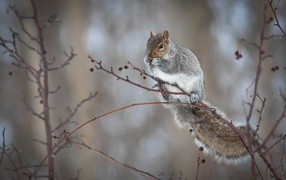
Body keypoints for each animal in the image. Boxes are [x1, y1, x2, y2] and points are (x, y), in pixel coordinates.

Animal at [144, 30, 260, 165]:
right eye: (147, 44)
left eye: (161, 46)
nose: (149, 56)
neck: (168, 53)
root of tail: (182, 101)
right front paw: (147, 61)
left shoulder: (177, 61)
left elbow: (170, 67)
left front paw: (157, 62)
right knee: (167, 97)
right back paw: (163, 90)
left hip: (196, 84)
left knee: (194, 93)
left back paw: (194, 95)